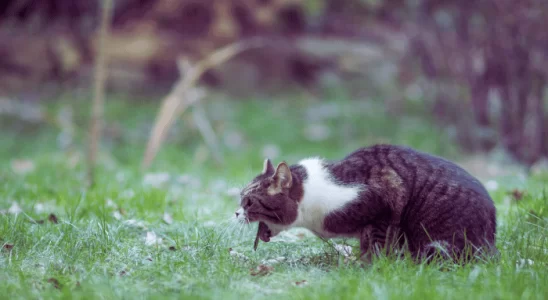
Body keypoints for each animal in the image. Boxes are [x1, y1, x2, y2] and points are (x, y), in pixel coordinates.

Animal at [233, 144, 498, 262]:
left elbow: (375, 243)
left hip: (437, 242)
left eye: (249, 201)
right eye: (241, 199)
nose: (235, 213)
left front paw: (368, 266)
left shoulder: (384, 200)